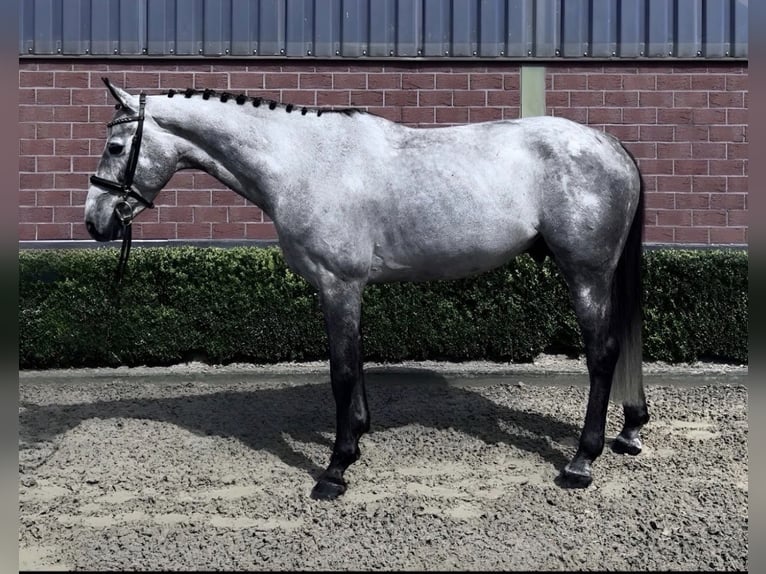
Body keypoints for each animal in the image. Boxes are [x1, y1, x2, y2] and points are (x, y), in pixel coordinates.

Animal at [84, 77, 648, 500]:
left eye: (115, 146)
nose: (96, 220)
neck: (304, 161)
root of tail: (611, 144)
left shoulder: (339, 284)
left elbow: (342, 371)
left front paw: (336, 469)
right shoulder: (346, 289)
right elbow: (354, 366)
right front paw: (357, 436)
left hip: (587, 273)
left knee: (603, 353)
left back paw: (581, 461)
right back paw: (630, 430)